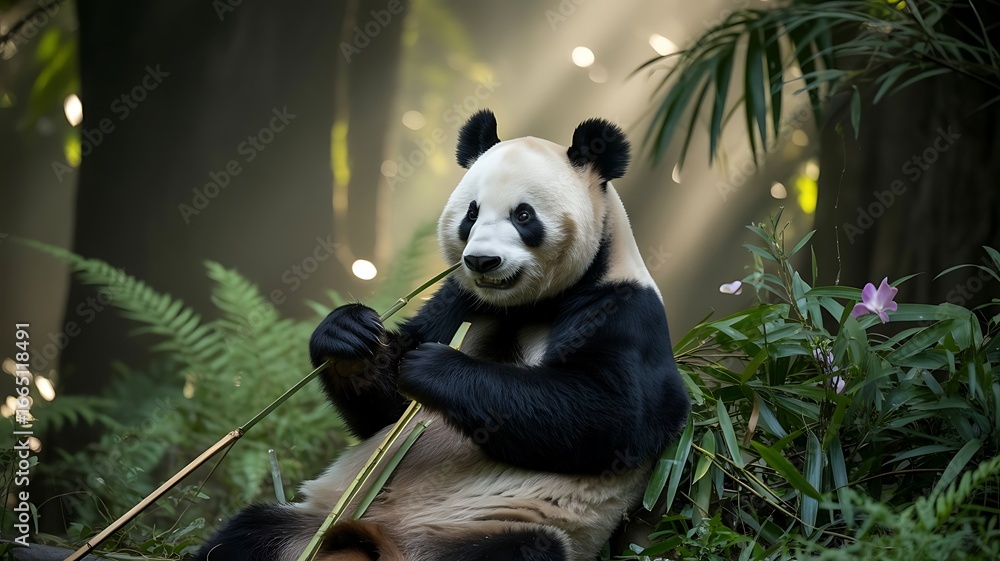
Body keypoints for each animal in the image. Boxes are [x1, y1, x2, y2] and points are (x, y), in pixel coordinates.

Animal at [197, 110, 690, 561]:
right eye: (471, 213)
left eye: (524, 215)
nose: (482, 261)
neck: (531, 303)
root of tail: (382, 542)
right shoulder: (459, 297)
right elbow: (385, 412)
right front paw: (348, 334)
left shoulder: (624, 310)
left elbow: (613, 414)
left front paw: (432, 367)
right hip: (311, 523)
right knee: (246, 535)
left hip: (501, 528)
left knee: (520, 551)